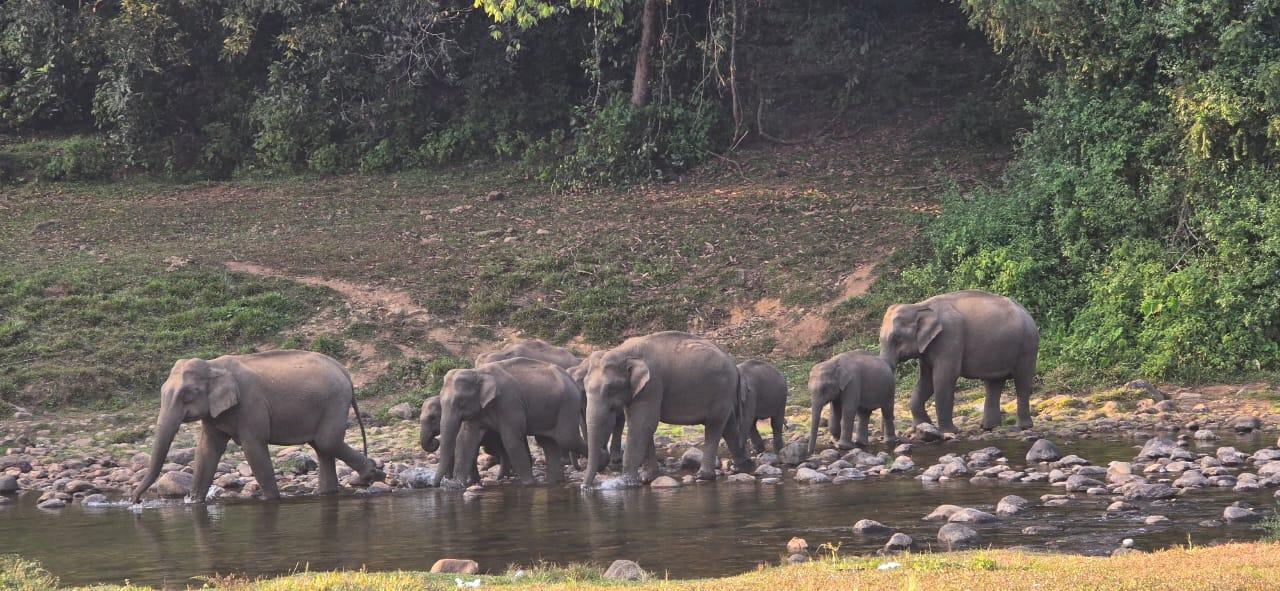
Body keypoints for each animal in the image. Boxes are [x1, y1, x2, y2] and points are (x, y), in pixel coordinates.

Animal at [130, 350, 382, 503]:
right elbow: (207, 451)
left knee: (326, 442)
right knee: (322, 447)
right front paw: (194, 503)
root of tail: (344, 370)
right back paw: (332, 491)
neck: (213, 365)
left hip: (335, 401)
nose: (136, 501)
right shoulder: (214, 414)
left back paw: (372, 473)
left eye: (187, 394)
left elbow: (254, 448)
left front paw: (270, 500)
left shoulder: (251, 404)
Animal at [431, 357, 588, 486]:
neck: (478, 372)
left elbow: (511, 439)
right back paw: (553, 481)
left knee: (566, 438)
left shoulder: (509, 401)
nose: (436, 484)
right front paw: (456, 486)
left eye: (461, 402)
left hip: (568, 404)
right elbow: (465, 439)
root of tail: (570, 378)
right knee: (547, 442)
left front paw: (529, 484)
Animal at [582, 331, 755, 486]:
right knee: (728, 426)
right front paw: (647, 478)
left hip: (721, 391)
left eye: (612, 388)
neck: (623, 351)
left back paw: (704, 476)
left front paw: (625, 483)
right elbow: (642, 425)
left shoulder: (652, 385)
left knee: (714, 425)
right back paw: (744, 468)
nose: (585, 487)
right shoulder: (638, 391)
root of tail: (735, 365)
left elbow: (642, 425)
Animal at [879, 290, 1039, 432]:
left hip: (1028, 345)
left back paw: (1023, 427)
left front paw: (950, 431)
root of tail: (1028, 314)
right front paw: (922, 426)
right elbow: (926, 381)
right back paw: (988, 427)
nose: (884, 436)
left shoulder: (949, 337)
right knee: (994, 383)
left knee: (1022, 381)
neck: (919, 306)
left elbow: (944, 377)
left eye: (897, 338)